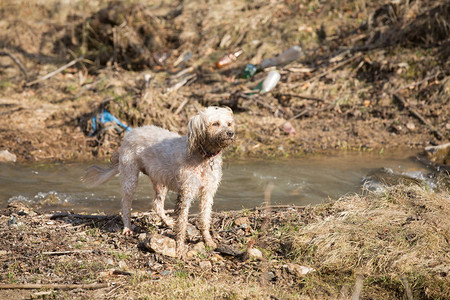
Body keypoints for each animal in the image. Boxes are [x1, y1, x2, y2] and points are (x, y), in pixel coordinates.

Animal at [81, 106, 236, 256]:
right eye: (216, 123)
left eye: (229, 123)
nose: (230, 133)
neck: (203, 155)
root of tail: (130, 133)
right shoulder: (186, 193)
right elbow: (182, 222)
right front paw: (180, 248)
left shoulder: (207, 194)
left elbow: (204, 219)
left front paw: (208, 241)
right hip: (130, 177)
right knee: (126, 204)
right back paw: (127, 228)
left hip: (160, 181)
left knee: (157, 204)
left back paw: (167, 222)